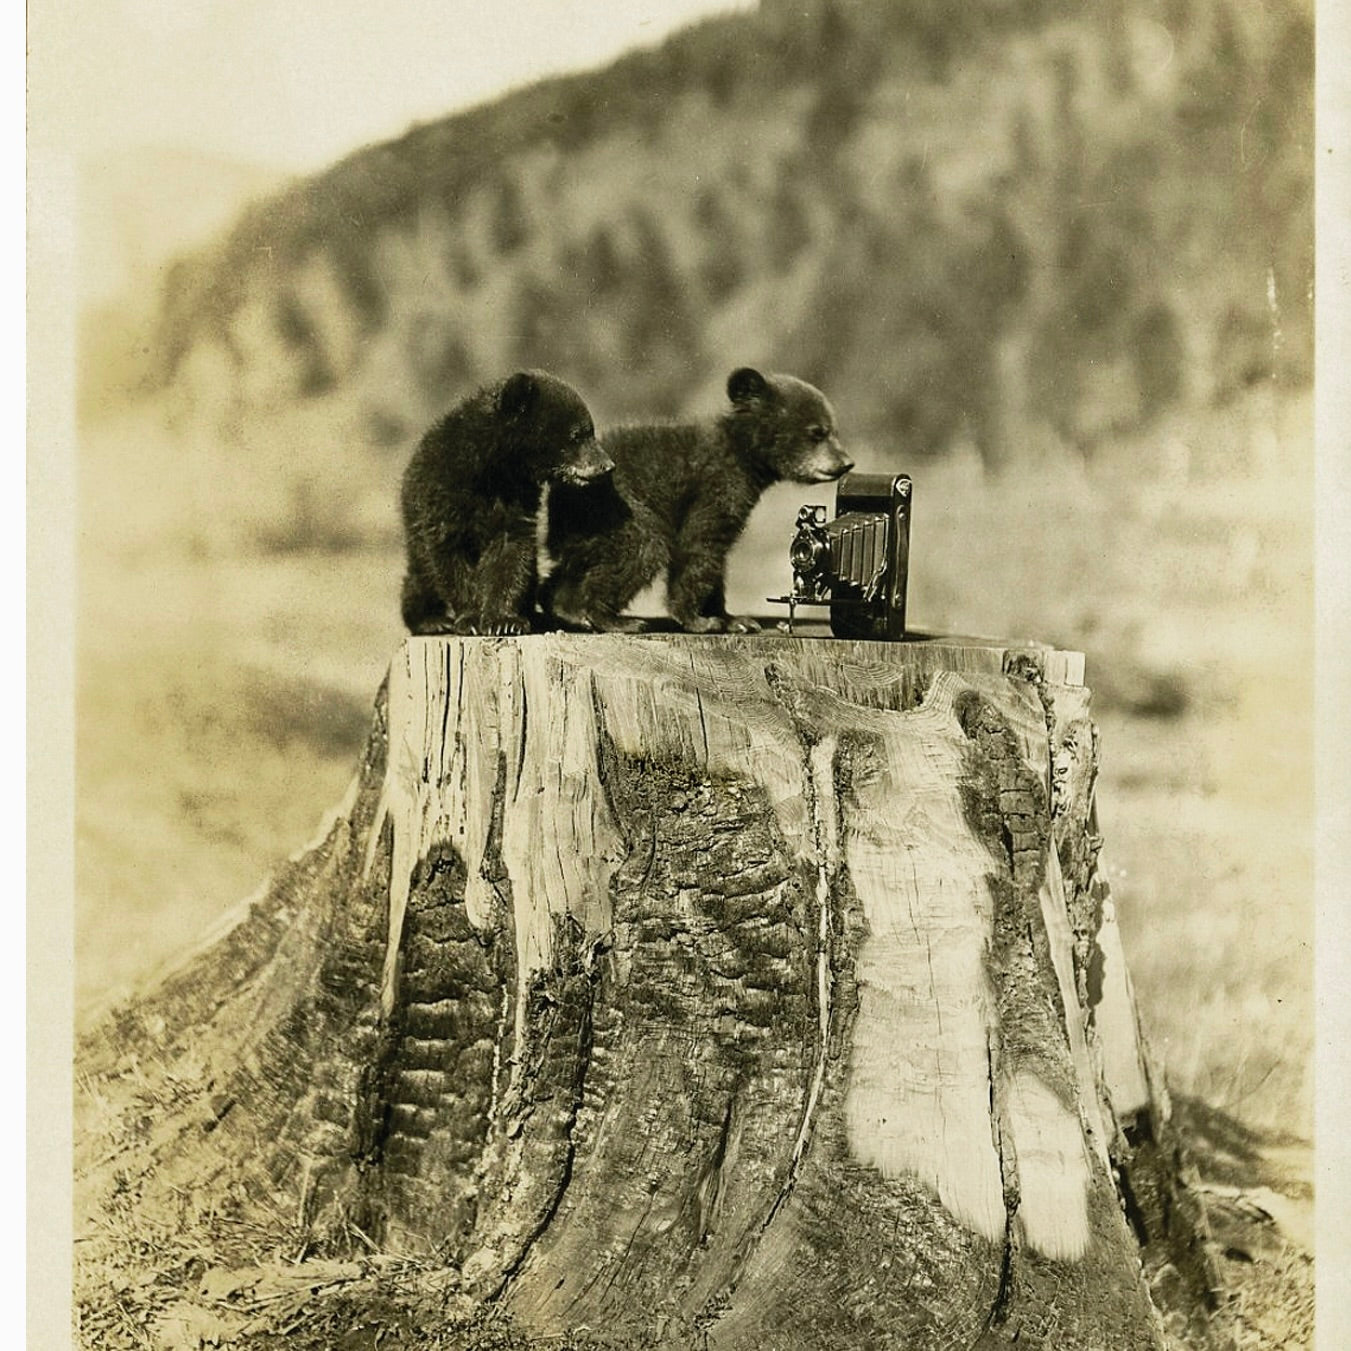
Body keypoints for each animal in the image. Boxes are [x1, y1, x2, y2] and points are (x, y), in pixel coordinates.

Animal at [400, 370, 612, 636]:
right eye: (577, 434)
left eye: (588, 431)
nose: (607, 465)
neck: (493, 469)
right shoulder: (443, 493)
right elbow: (449, 553)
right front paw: (470, 619)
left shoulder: (517, 499)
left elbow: (511, 552)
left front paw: (504, 620)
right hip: (414, 536)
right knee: (421, 576)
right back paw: (432, 619)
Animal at [543, 367, 853, 633]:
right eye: (817, 432)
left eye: (834, 429)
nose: (846, 463)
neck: (744, 456)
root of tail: (559, 495)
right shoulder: (715, 487)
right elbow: (699, 546)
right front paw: (698, 619)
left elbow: (716, 556)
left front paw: (734, 619)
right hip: (619, 509)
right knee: (642, 548)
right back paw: (612, 619)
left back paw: (563, 608)